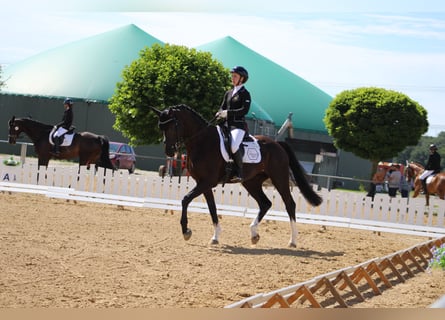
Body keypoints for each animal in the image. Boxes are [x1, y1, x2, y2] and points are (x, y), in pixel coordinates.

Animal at [151, 105, 320, 248]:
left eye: (172, 126)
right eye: (160, 127)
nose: (169, 151)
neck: (203, 142)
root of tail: (277, 144)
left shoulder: (207, 182)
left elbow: (185, 199)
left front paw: (186, 231)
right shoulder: (203, 183)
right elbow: (212, 208)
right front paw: (215, 237)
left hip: (279, 178)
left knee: (289, 204)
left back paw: (292, 241)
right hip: (251, 182)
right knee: (265, 203)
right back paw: (254, 234)